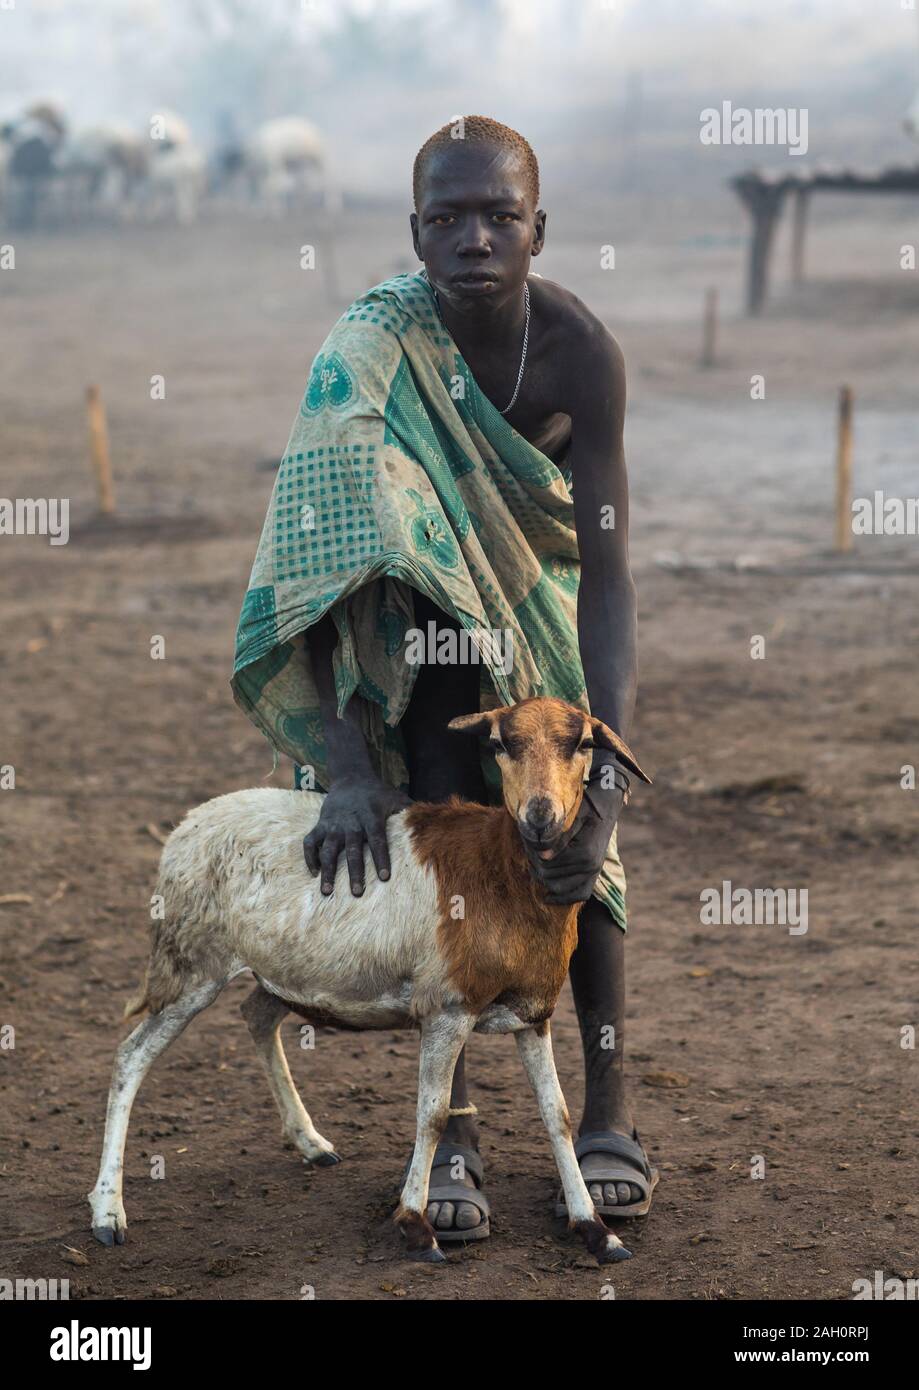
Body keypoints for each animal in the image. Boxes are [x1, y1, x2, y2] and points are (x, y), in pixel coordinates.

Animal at [84, 700, 645, 1267]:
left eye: (582, 744)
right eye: (500, 744)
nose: (539, 815)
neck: (504, 875)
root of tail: (184, 827)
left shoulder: (534, 1012)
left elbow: (557, 1115)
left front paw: (596, 1229)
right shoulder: (446, 1007)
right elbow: (432, 1114)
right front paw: (417, 1227)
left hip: (281, 971)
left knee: (256, 1016)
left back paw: (310, 1142)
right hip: (192, 963)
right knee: (130, 1057)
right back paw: (108, 1213)